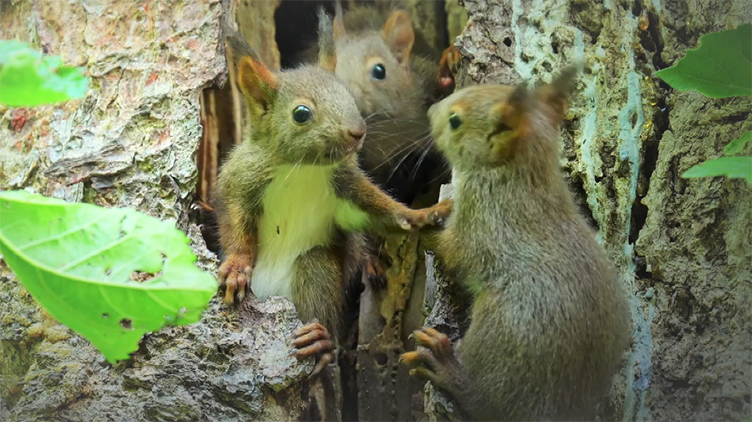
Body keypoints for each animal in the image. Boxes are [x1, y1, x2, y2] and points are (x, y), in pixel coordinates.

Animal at [214, 21, 456, 374]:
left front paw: (423, 215)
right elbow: (235, 222)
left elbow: (384, 212)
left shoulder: (347, 187)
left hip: (315, 267)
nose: (358, 131)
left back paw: (319, 340)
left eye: (344, 91)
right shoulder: (241, 181)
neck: (302, 169)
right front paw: (235, 266)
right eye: (301, 113)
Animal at [402, 67, 632, 422]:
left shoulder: (481, 224)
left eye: (455, 121)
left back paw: (447, 369)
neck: (517, 174)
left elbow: (453, 252)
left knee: (484, 402)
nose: (430, 112)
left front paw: (423, 232)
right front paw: (440, 209)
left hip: (502, 330)